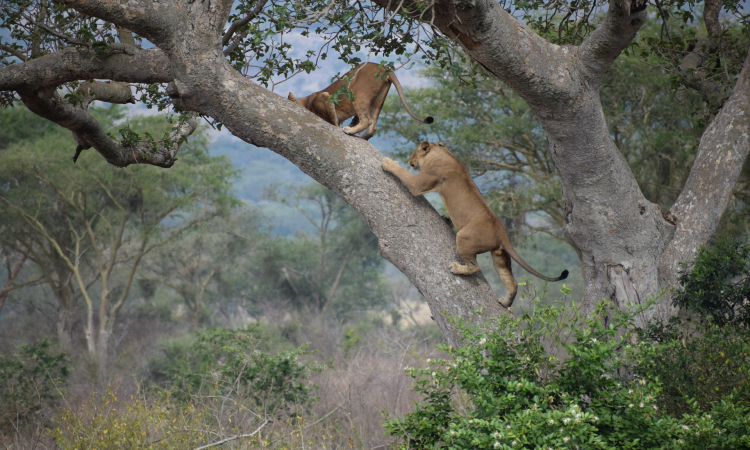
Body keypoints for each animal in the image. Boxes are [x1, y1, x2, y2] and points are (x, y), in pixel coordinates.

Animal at [288, 62, 434, 140]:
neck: (307, 100)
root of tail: (383, 67)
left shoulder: (325, 97)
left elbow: (333, 119)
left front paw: (337, 126)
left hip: (359, 95)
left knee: (367, 120)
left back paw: (350, 130)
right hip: (377, 100)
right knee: (372, 126)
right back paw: (361, 136)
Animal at [382, 141, 568, 308]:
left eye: (414, 153)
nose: (410, 160)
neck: (443, 153)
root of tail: (502, 233)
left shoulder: (419, 184)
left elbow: (403, 173)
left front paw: (388, 162)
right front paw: (446, 218)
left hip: (464, 238)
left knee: (475, 267)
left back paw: (457, 268)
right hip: (500, 257)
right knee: (512, 282)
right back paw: (504, 302)